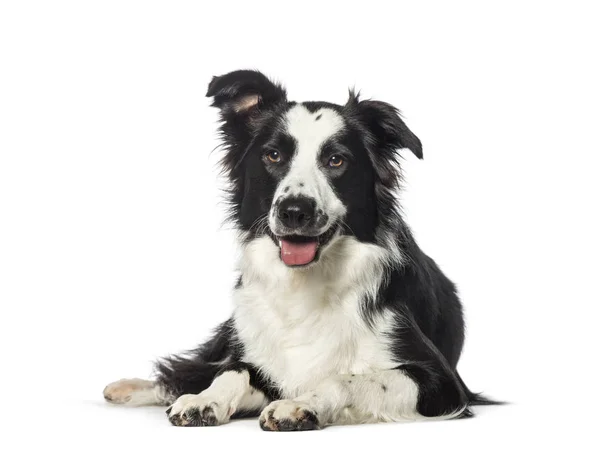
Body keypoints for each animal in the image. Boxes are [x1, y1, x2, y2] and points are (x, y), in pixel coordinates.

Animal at [103, 70, 496, 432]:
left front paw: (300, 404)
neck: (304, 285)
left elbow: (345, 377)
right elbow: (234, 370)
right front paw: (204, 400)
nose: (294, 211)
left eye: (336, 160)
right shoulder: (258, 354)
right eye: (273, 155)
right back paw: (128, 387)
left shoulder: (442, 383)